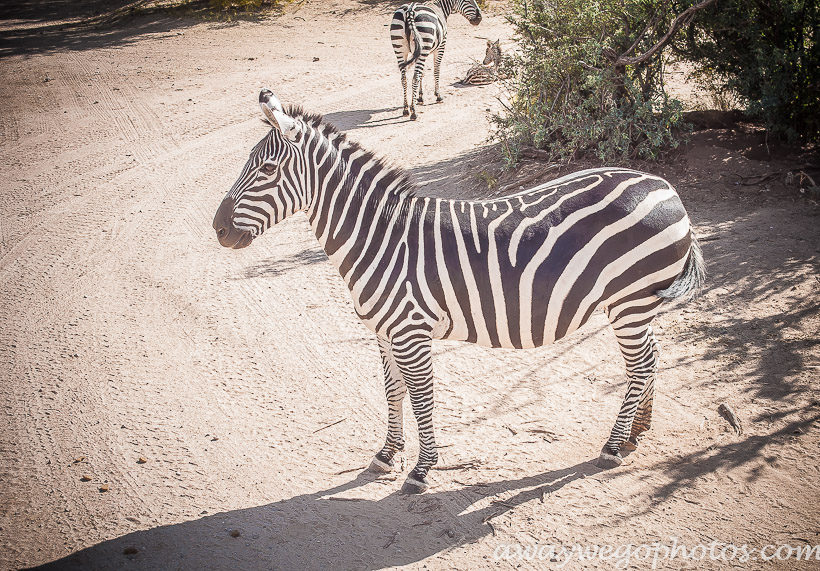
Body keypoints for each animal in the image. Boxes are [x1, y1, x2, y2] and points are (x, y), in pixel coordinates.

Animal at [211, 91, 704, 494]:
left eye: (267, 170)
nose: (217, 229)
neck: (380, 237)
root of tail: (665, 188)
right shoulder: (384, 332)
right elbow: (392, 392)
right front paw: (387, 455)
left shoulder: (410, 332)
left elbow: (422, 397)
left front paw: (421, 470)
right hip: (640, 305)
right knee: (652, 358)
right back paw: (639, 430)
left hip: (629, 301)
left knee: (640, 367)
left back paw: (613, 446)